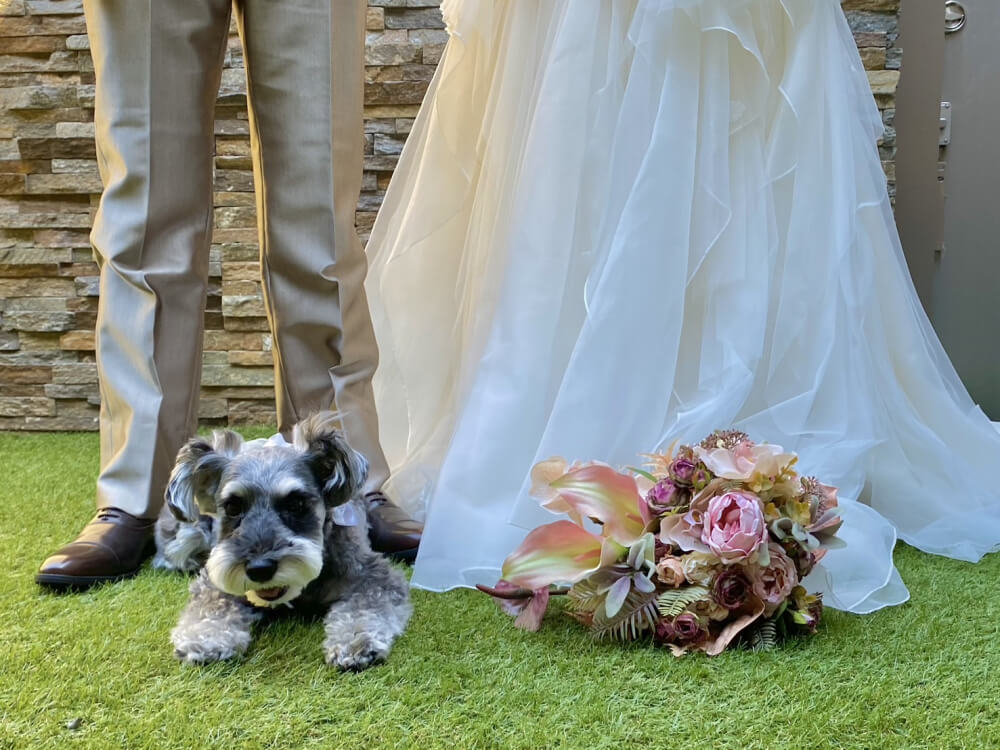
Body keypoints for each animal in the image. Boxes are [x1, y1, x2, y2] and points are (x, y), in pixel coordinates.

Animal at [152, 414, 410, 672]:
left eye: (296, 503)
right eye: (233, 507)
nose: (260, 569)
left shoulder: (372, 575)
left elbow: (365, 606)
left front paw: (356, 640)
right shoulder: (215, 580)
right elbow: (211, 604)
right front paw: (206, 638)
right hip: (188, 533)